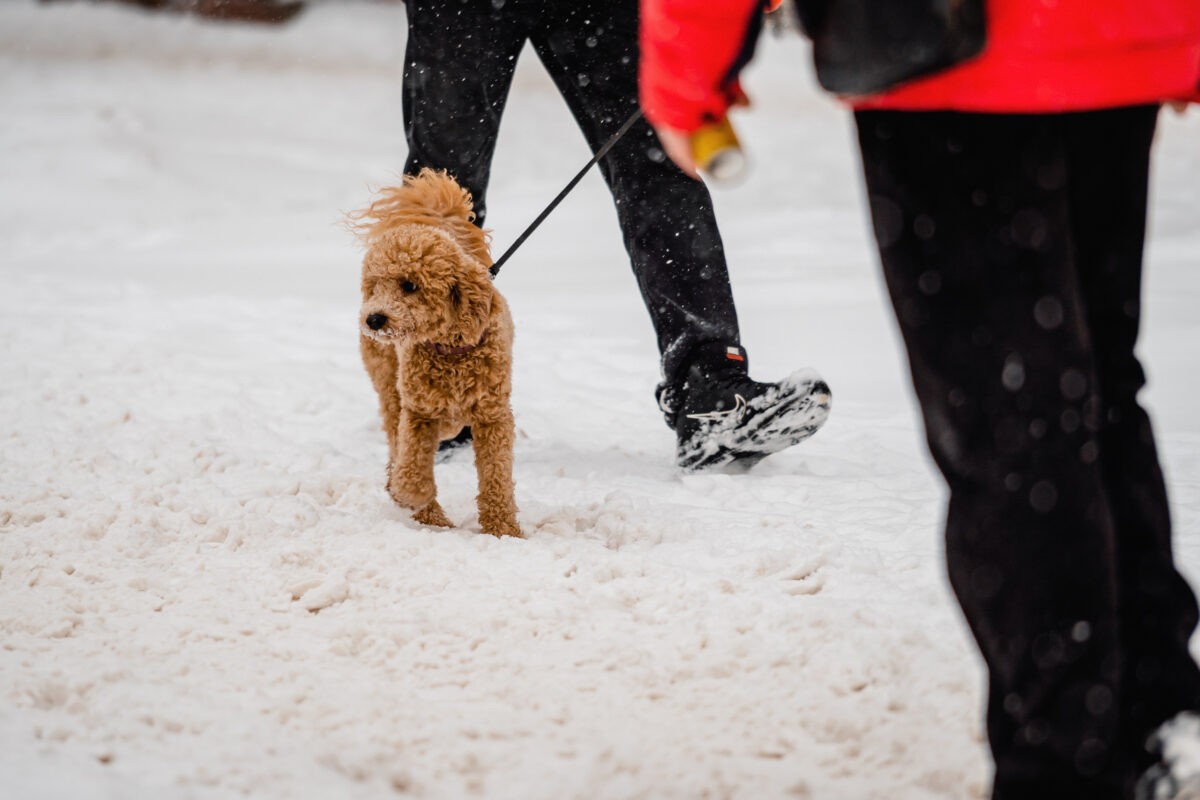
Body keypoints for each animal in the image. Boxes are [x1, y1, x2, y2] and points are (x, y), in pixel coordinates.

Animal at [350, 169, 518, 537]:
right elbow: (412, 464)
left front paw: (504, 529)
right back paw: (427, 514)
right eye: (375, 285)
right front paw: (412, 496)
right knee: (397, 440)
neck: (451, 350)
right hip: (389, 386)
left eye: (410, 285)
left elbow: (496, 477)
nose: (373, 319)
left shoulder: (493, 416)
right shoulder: (418, 410)